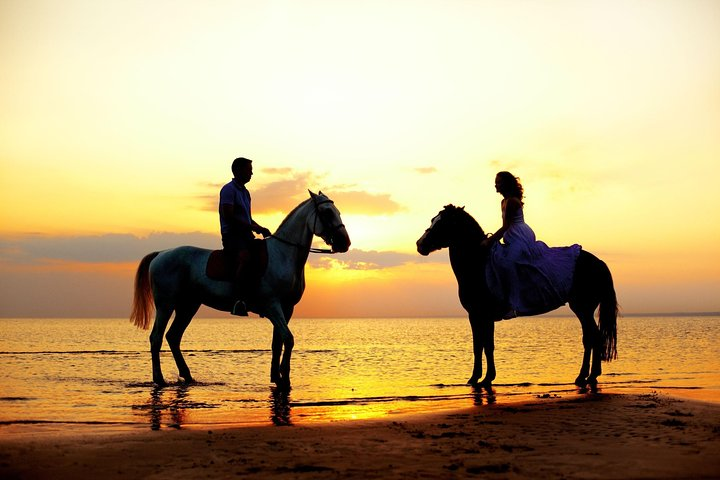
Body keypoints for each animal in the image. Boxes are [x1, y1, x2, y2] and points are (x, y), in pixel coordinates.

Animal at [416, 204, 620, 388]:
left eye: (441, 223)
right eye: (433, 220)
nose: (420, 245)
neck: (478, 263)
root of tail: (598, 262)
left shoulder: (480, 315)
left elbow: (484, 345)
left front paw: (483, 378)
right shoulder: (478, 316)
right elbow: (481, 345)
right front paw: (479, 378)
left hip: (582, 308)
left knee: (593, 337)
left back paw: (588, 376)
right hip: (584, 309)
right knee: (591, 338)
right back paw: (586, 376)